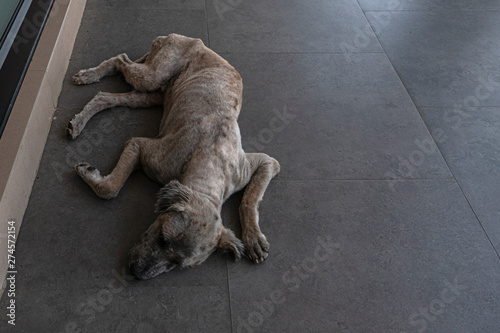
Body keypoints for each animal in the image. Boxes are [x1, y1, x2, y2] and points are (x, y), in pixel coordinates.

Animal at [66, 33, 280, 278]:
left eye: (177, 264)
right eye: (162, 236)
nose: (136, 272)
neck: (208, 164)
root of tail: (186, 37)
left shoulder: (265, 163)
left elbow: (250, 200)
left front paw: (253, 237)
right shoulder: (140, 146)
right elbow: (110, 187)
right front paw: (90, 175)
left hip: (151, 95)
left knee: (106, 96)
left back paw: (79, 119)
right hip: (152, 75)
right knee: (120, 60)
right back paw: (88, 76)